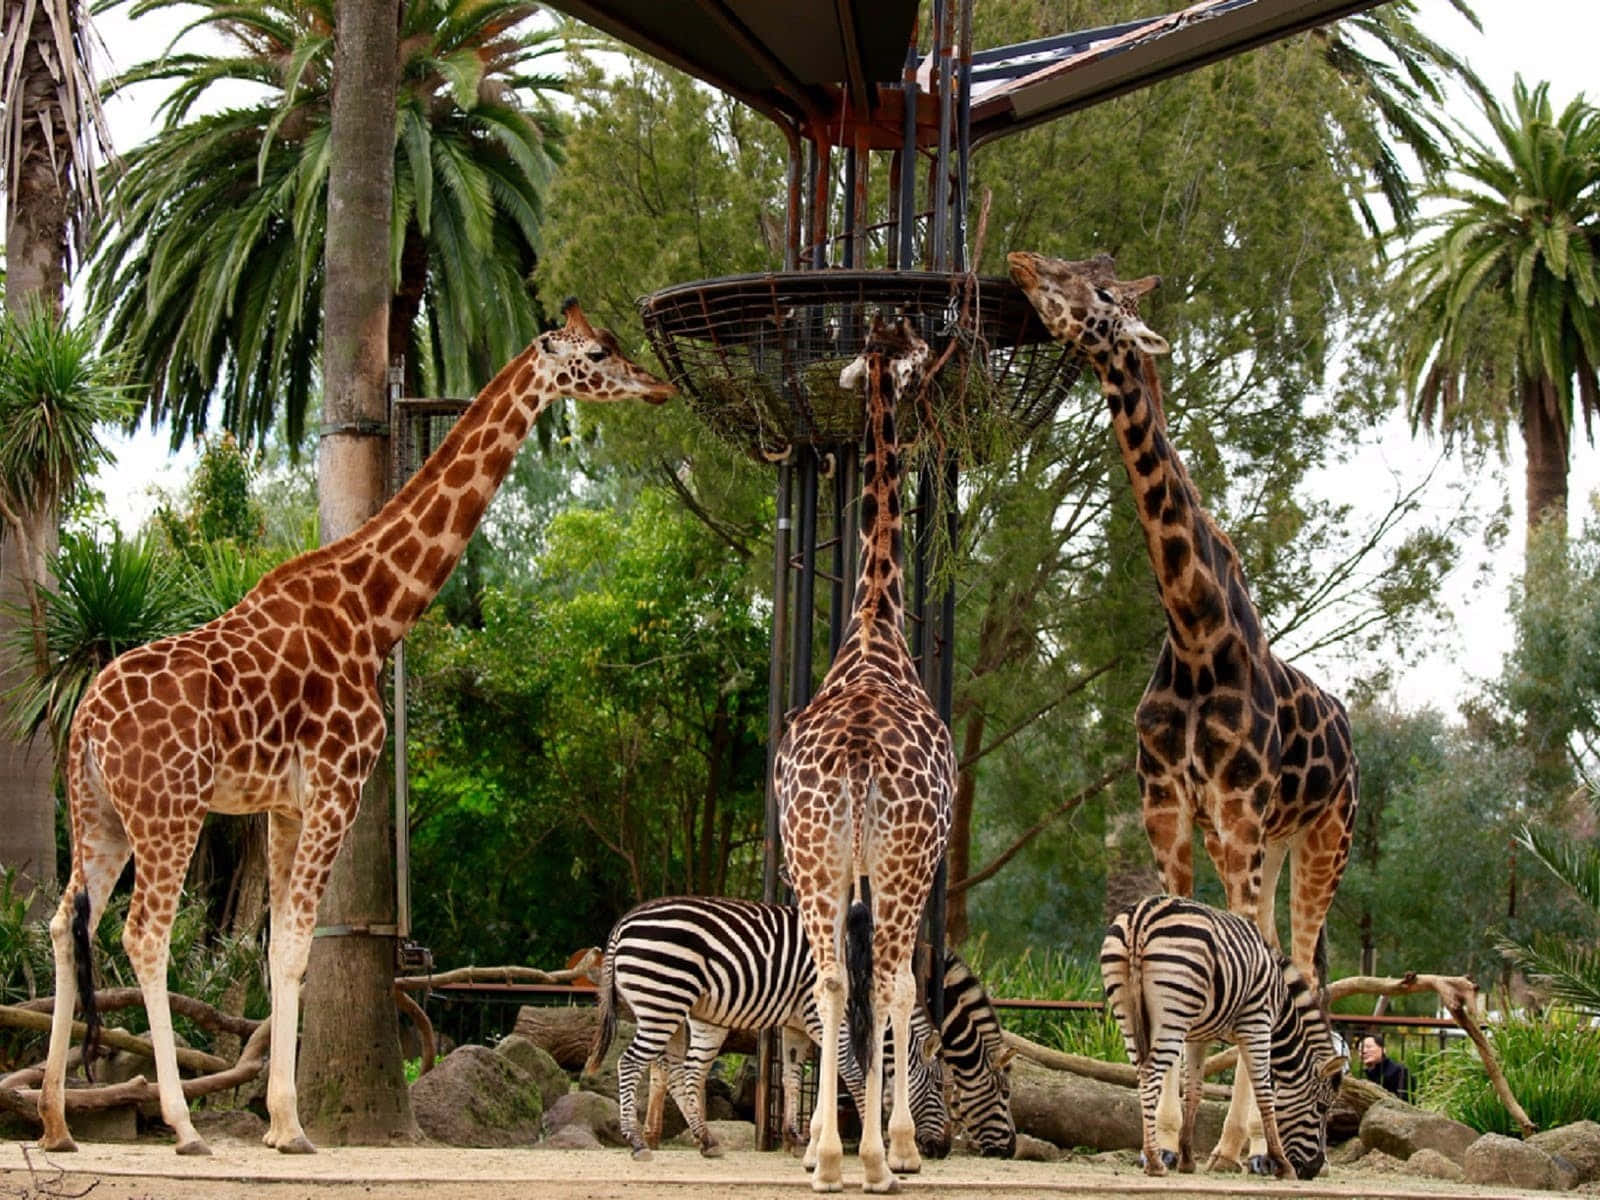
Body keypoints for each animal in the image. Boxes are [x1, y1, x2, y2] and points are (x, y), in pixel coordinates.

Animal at [36, 299, 675, 1158]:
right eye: (600, 352)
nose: (658, 385)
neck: (375, 612)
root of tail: (84, 727)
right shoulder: (339, 784)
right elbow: (298, 945)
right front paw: (291, 1126)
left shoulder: (282, 805)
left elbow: (277, 945)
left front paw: (280, 1122)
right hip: (169, 811)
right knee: (143, 934)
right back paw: (182, 1127)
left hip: (101, 816)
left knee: (61, 923)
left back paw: (55, 1122)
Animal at [585, 902, 1011, 1164]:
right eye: (940, 1087)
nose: (943, 1149)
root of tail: (624, 923)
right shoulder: (829, 1022)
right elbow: (853, 1077)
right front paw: (875, 1140)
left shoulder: (796, 1026)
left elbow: (792, 1079)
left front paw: (795, 1138)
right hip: (663, 1002)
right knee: (630, 1063)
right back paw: (637, 1141)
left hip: (685, 1013)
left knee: (681, 1074)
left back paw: (704, 1141)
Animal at [1094, 896, 1344, 1177]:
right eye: (1322, 1108)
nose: (1313, 1169)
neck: (1282, 1004)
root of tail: (1142, 916)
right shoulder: (1257, 1023)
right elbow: (1265, 1094)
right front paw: (1282, 1164)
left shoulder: (1196, 1037)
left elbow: (1194, 1092)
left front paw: (1187, 1159)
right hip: (1173, 1015)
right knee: (1150, 1074)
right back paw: (1155, 1162)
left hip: (1126, 1010)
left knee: (1140, 1072)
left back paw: (1153, 1156)